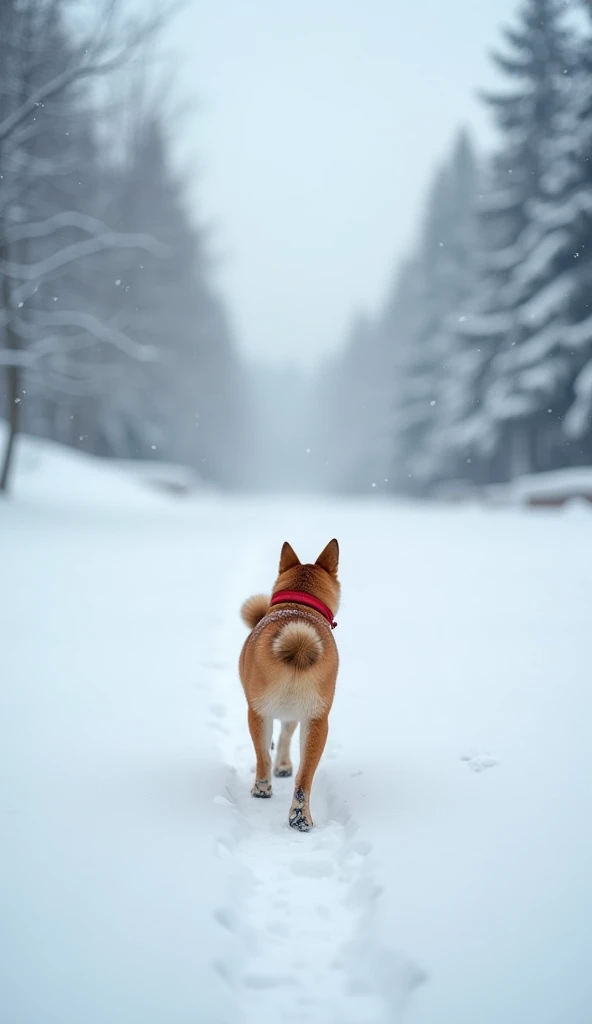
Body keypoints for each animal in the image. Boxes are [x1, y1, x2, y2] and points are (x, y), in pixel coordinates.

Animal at [237, 540, 337, 827]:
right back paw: (300, 816)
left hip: (260, 712)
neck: (297, 604)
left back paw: (263, 789)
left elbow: (274, 744)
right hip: (316, 721)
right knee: (304, 777)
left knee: (264, 756)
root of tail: (299, 645)